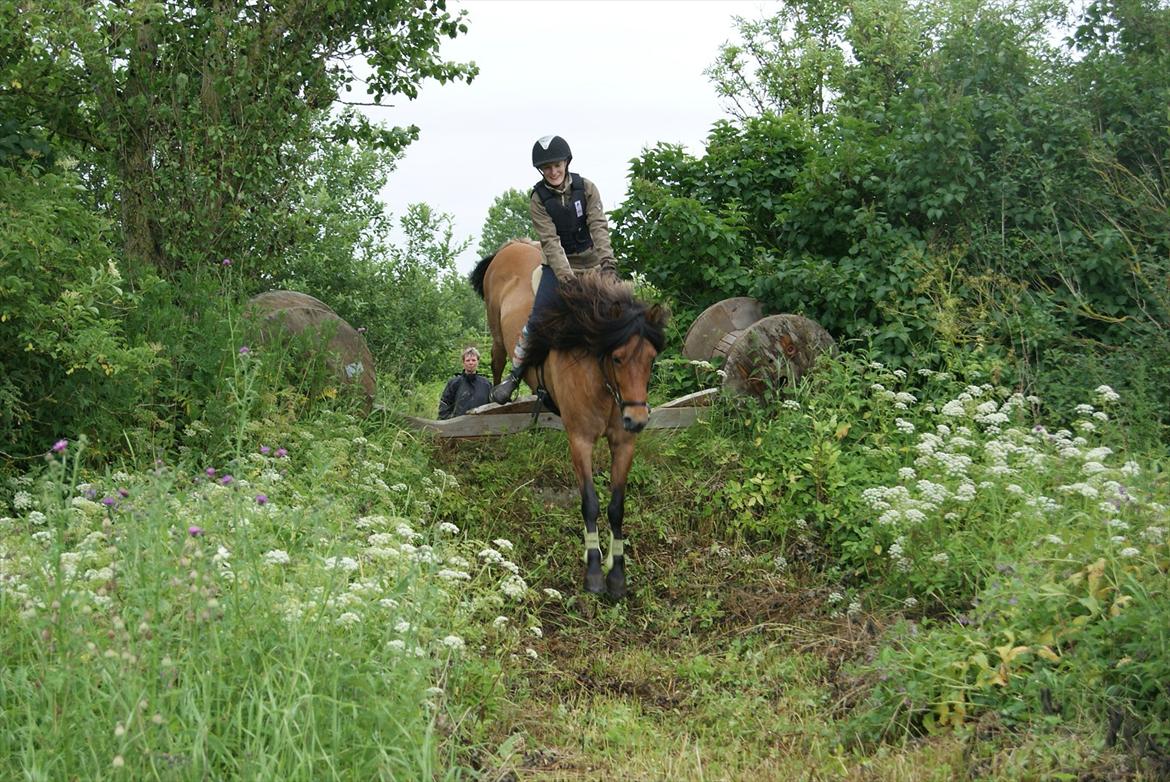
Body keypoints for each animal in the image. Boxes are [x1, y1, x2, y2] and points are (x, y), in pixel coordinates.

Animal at [465, 241, 669, 594]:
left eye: (651, 359)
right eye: (617, 358)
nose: (637, 420)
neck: (601, 380)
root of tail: (511, 245)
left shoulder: (624, 444)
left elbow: (617, 507)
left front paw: (617, 575)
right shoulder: (580, 440)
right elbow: (590, 502)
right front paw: (595, 572)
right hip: (495, 331)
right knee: (498, 361)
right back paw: (499, 398)